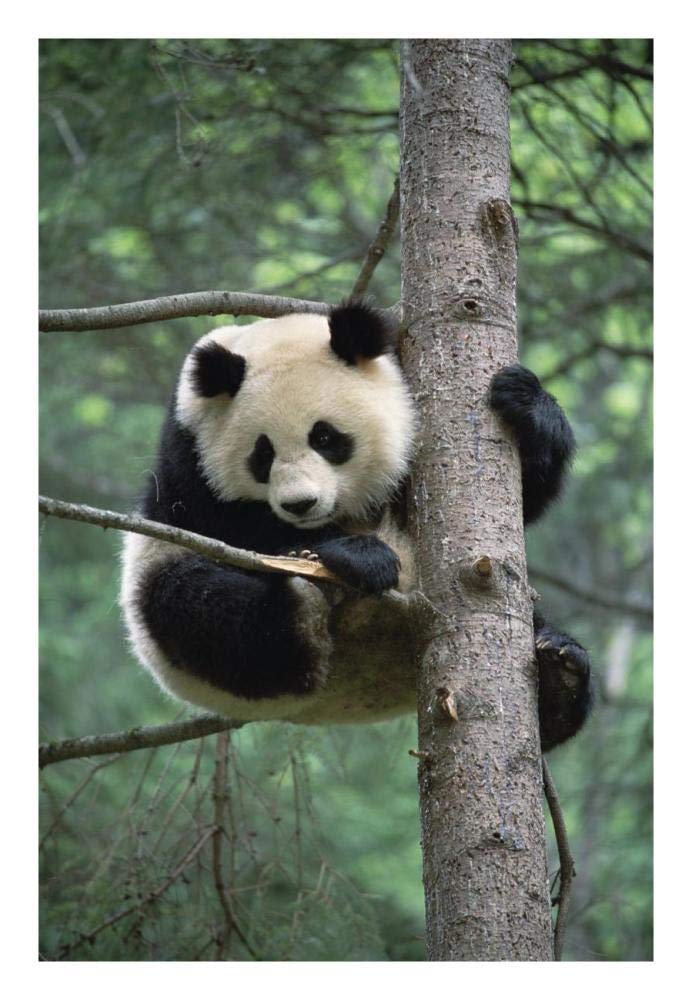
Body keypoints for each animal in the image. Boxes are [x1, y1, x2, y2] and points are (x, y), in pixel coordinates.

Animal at [121, 301, 593, 751]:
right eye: (262, 453)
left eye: (325, 438)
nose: (300, 504)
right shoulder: (189, 452)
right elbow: (225, 524)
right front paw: (359, 556)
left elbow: (524, 497)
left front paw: (523, 401)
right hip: (166, 606)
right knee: (199, 606)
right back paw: (303, 606)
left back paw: (560, 676)